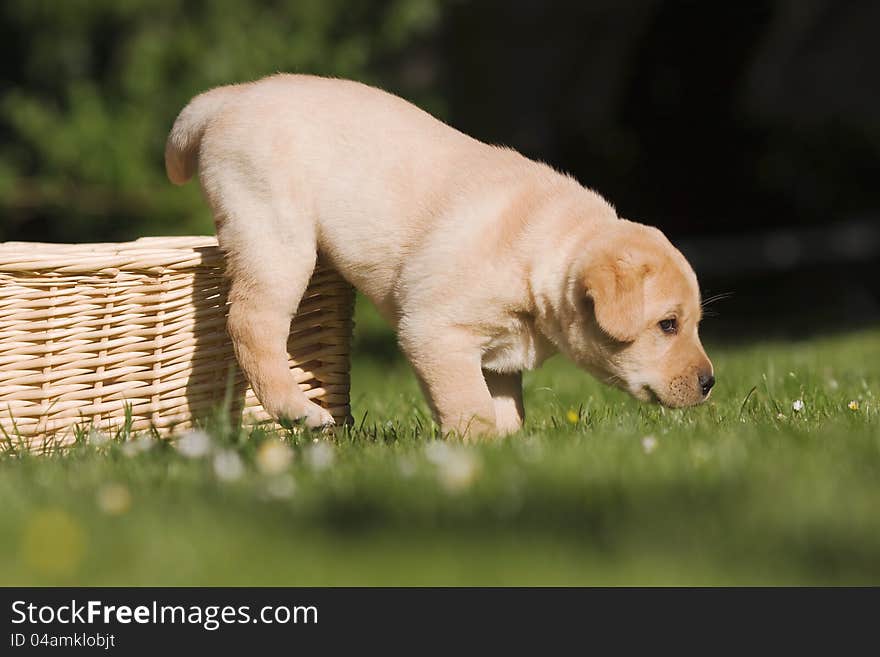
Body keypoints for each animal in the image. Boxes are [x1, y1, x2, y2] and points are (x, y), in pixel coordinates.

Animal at [167, 73, 716, 436]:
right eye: (668, 325)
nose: (711, 383)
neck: (545, 249)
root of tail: (233, 94)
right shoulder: (435, 332)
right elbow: (469, 407)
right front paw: (479, 452)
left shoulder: (498, 360)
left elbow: (506, 409)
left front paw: (514, 449)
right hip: (276, 235)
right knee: (251, 324)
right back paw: (298, 409)